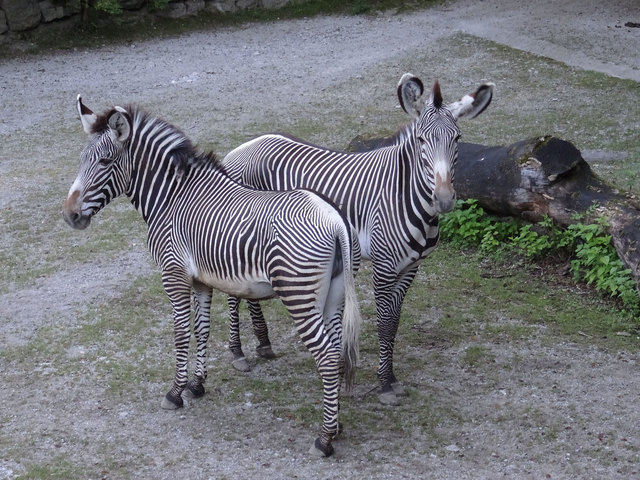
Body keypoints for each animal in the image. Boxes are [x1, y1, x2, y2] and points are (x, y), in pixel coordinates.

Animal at [62, 96, 362, 457]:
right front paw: (196, 384)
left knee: (328, 357)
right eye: (81, 161)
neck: (171, 198)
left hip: (299, 294)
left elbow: (180, 333)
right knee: (337, 351)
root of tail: (334, 220)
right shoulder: (201, 281)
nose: (70, 216)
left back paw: (325, 438)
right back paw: (339, 425)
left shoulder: (173, 275)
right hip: (334, 295)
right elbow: (202, 329)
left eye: (105, 161)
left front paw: (175, 393)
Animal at [222, 74, 494, 405]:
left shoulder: (410, 268)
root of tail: (240, 148)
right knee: (233, 292)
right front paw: (385, 384)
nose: (443, 200)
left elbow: (394, 322)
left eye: (457, 139)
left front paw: (391, 378)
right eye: (421, 140)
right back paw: (238, 352)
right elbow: (385, 322)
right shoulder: (384, 265)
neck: (403, 192)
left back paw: (263, 343)